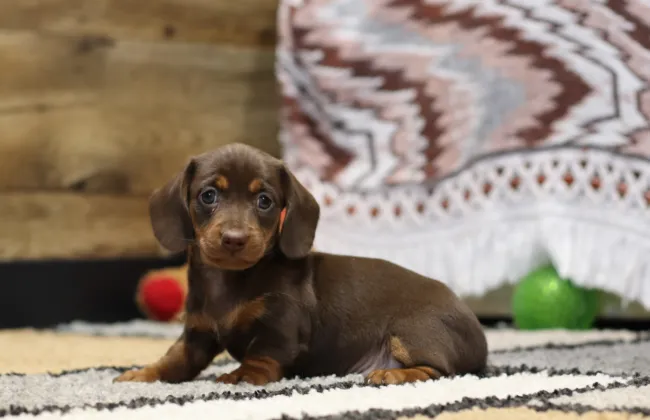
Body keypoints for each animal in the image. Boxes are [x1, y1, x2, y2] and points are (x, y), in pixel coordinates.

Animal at [112, 143, 486, 386]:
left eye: (265, 201)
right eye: (208, 195)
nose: (234, 238)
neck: (230, 281)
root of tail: (480, 335)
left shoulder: (281, 328)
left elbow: (261, 354)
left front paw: (242, 375)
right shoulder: (198, 335)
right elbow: (175, 359)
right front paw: (145, 373)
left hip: (413, 331)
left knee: (439, 370)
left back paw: (393, 373)